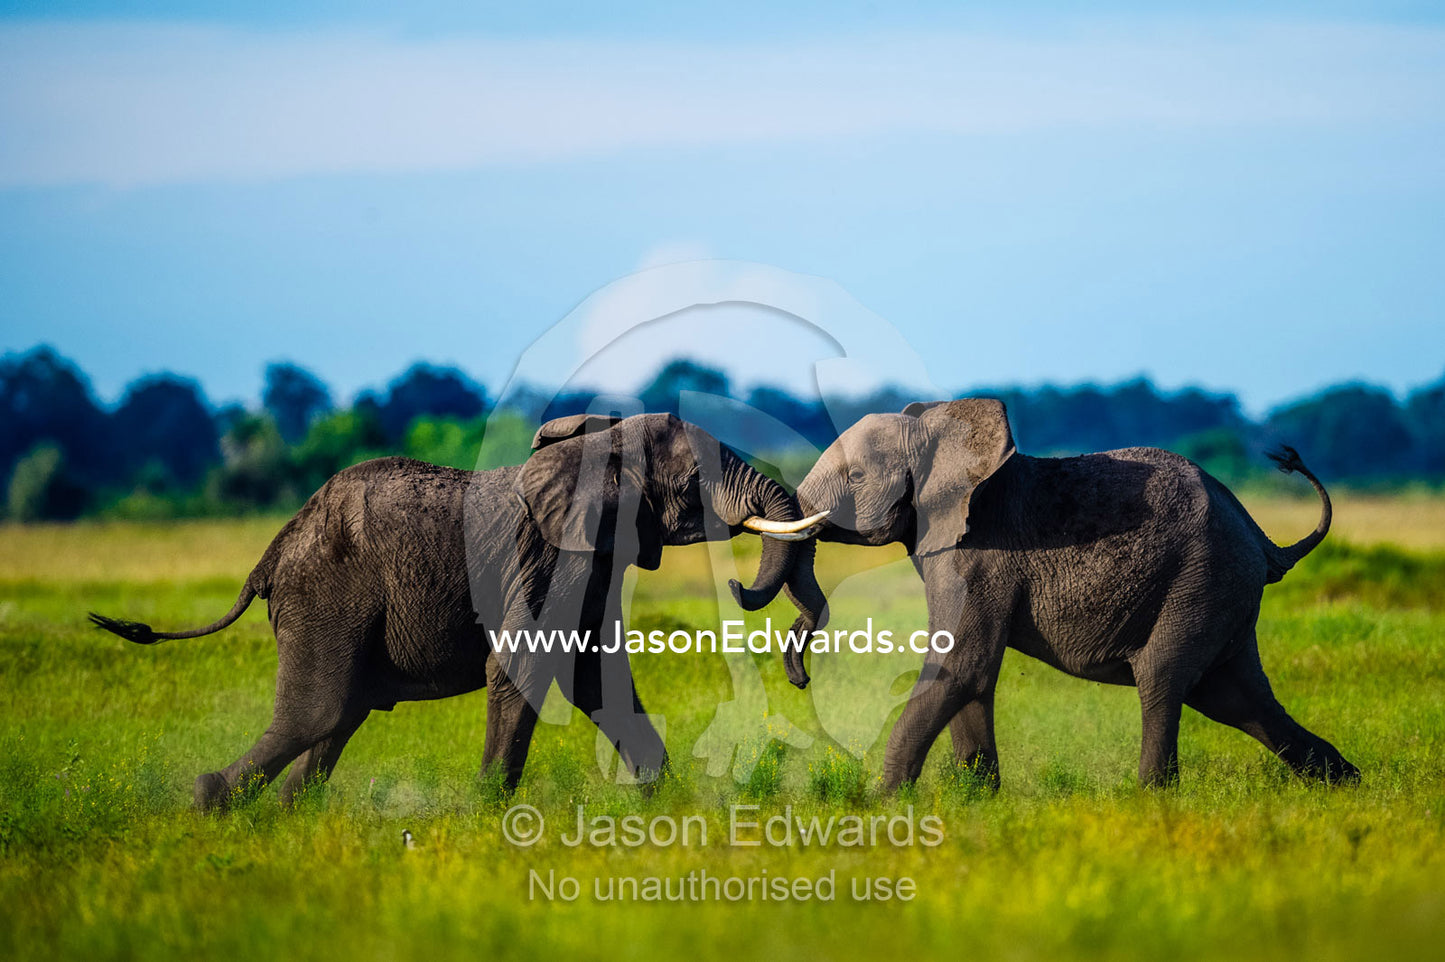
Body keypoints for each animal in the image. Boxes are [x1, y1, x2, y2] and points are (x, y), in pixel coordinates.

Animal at [90, 412, 827, 809]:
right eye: (697, 482)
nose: (799, 675)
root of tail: (270, 554)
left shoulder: (592, 559)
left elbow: (597, 677)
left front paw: (662, 805)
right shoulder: (546, 555)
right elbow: (526, 668)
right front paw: (485, 816)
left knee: (337, 717)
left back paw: (283, 817)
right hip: (327, 593)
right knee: (319, 711)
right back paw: (210, 803)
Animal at [789, 398, 1359, 790]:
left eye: (856, 476)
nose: (799, 675)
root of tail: (1263, 540)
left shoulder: (979, 558)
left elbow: (963, 663)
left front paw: (883, 803)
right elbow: (972, 674)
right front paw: (977, 799)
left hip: (1200, 581)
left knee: (1164, 681)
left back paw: (1151, 797)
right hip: (1223, 591)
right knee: (1234, 697)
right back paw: (1347, 784)